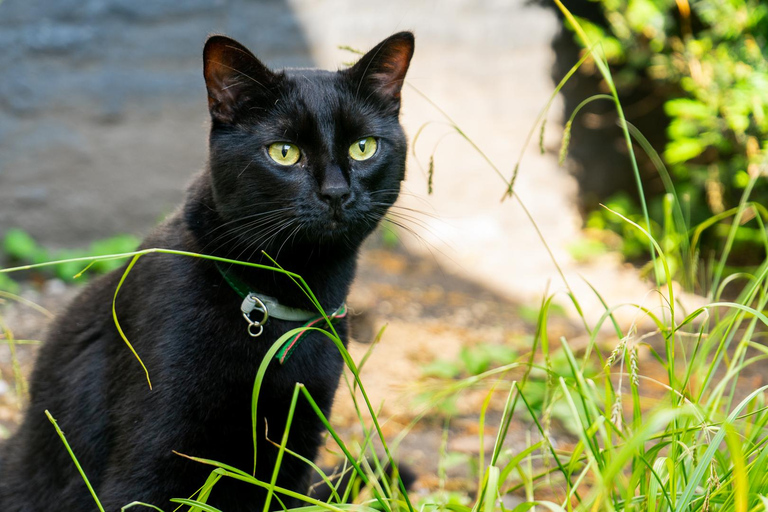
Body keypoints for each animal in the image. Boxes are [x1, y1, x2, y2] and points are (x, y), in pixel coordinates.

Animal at [0, 33, 414, 512]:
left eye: (363, 147)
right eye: (284, 153)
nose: (336, 192)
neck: (278, 310)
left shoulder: (295, 448)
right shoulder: (153, 454)